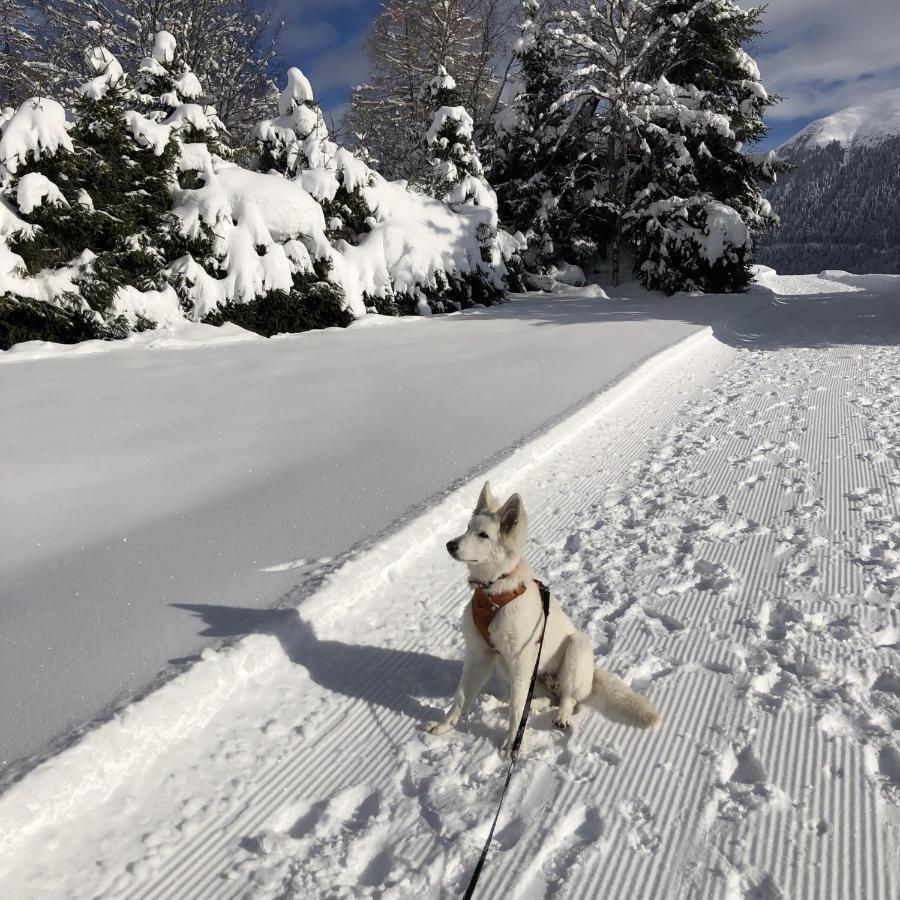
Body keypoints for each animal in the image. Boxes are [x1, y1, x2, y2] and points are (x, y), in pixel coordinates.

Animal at [422, 486, 660, 752]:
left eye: (483, 535)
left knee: (568, 698)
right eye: (467, 528)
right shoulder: (479, 654)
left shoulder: (520, 658)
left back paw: (561, 715)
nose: (450, 545)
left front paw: (512, 744)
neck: (494, 591)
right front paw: (444, 726)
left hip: (576, 647)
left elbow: (517, 707)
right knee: (545, 698)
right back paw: (538, 705)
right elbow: (461, 697)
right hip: (507, 666)